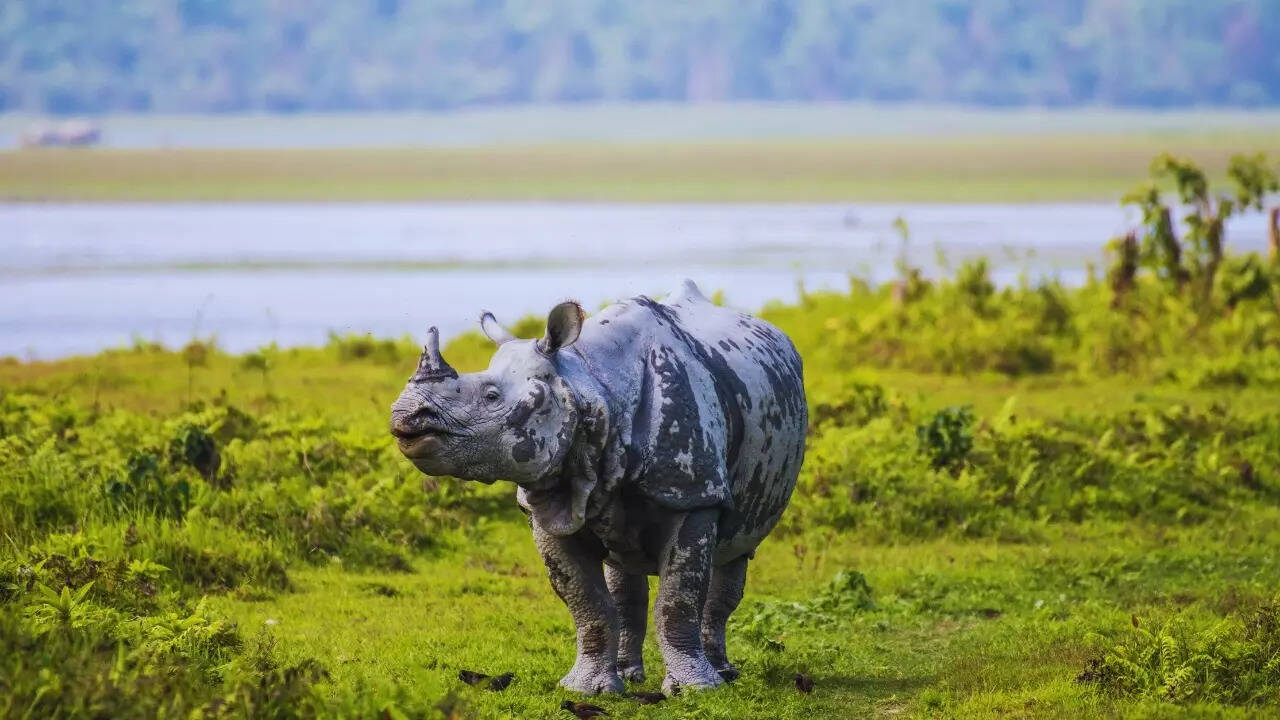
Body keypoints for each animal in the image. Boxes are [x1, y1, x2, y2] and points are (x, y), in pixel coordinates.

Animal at [389, 280, 806, 694]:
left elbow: (678, 600)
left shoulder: (693, 493)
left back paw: (722, 675)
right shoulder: (548, 503)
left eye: (491, 397)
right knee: (624, 572)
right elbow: (586, 602)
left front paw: (694, 690)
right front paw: (585, 689)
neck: (589, 384)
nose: (405, 415)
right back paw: (629, 675)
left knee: (735, 553)